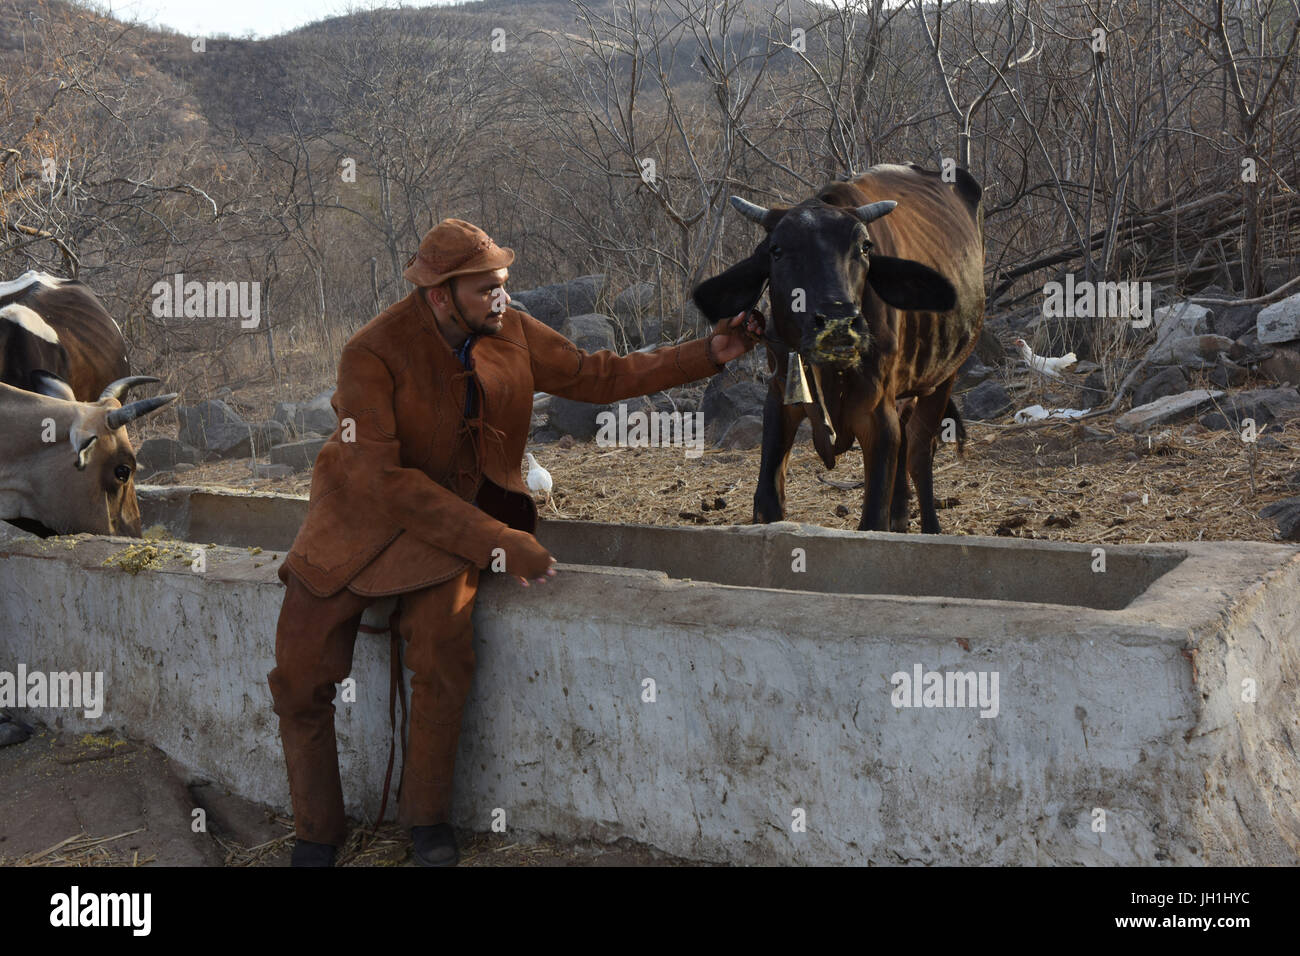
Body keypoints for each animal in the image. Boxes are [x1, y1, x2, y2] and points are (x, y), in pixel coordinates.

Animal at [691, 165, 982, 538]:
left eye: (865, 247)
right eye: (776, 250)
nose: (838, 323)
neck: (829, 374)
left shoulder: (877, 414)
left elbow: (873, 516)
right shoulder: (780, 400)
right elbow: (767, 503)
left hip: (944, 376)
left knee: (919, 451)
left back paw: (929, 528)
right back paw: (900, 518)